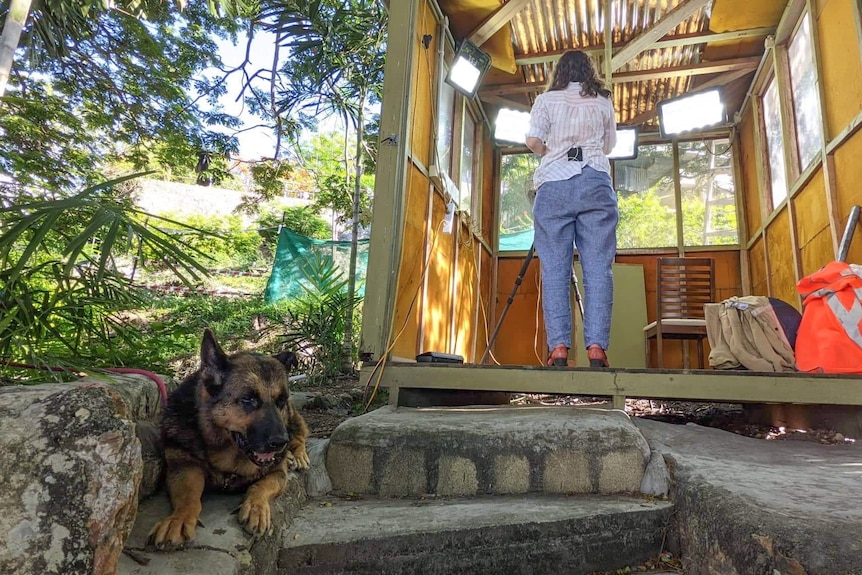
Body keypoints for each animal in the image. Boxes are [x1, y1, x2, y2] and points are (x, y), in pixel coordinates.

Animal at [149, 330, 310, 548]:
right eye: (248, 399)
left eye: (281, 401)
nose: (280, 443)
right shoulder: (184, 468)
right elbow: (188, 496)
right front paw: (179, 519)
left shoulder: (277, 473)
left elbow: (260, 486)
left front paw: (256, 508)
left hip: (291, 418)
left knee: (299, 433)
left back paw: (297, 455)